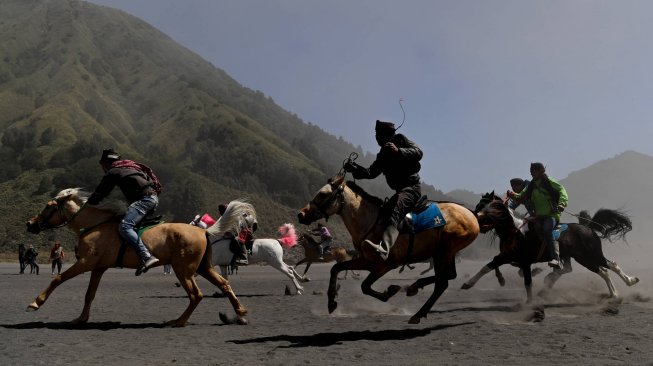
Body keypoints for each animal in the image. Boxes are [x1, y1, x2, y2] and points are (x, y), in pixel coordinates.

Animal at [25, 189, 251, 326]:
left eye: (48, 206)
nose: (30, 223)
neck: (95, 225)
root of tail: (203, 231)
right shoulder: (98, 268)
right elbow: (89, 294)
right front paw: (81, 319)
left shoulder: (85, 263)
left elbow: (58, 278)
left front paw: (36, 302)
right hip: (203, 267)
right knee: (224, 285)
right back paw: (240, 312)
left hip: (184, 270)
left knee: (196, 295)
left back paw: (178, 321)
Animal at [296, 173, 478, 324]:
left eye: (323, 194)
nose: (301, 214)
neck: (371, 221)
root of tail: (472, 215)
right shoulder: (367, 262)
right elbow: (336, 268)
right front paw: (332, 301)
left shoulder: (385, 264)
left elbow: (365, 286)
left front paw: (389, 292)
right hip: (446, 253)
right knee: (448, 276)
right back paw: (414, 288)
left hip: (444, 252)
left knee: (442, 282)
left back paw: (417, 311)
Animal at [460, 193, 640, 302]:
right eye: (479, 205)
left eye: (487, 207)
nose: (473, 218)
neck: (516, 231)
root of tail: (588, 227)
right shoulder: (507, 256)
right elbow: (487, 267)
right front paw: (468, 284)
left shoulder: (523, 261)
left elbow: (527, 281)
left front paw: (530, 302)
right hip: (579, 256)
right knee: (605, 266)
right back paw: (628, 283)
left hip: (588, 256)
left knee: (606, 269)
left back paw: (618, 291)